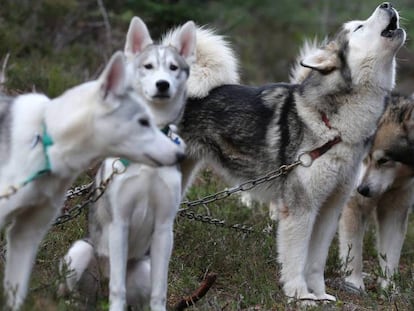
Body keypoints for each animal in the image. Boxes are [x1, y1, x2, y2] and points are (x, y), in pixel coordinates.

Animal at [59, 17, 196, 311]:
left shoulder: (164, 229)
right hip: (81, 251)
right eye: (148, 66)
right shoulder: (119, 223)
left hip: (143, 268)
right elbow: (117, 287)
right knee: (83, 293)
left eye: (173, 67)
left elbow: (160, 291)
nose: (162, 84)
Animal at [167, 1, 404, 302]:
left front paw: (320, 295)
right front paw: (300, 295)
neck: (335, 128)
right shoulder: (300, 209)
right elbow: (296, 259)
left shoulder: (329, 210)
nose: (387, 4)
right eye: (359, 28)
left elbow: (315, 262)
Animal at [338, 94, 414, 294]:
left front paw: (389, 287)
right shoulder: (355, 206)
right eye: (364, 157)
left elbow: (390, 255)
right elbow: (353, 252)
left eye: (384, 160)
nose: (361, 189)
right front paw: (353, 283)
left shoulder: (395, 211)